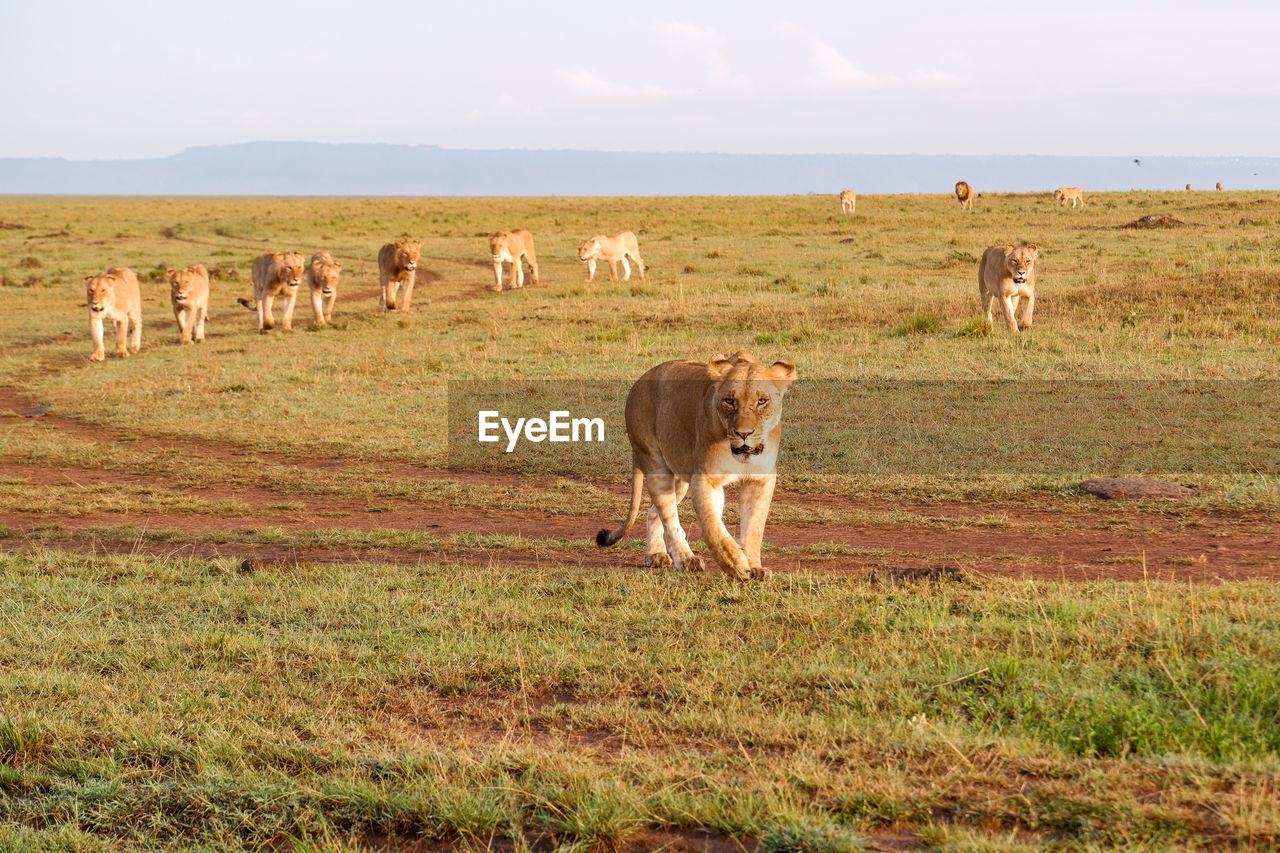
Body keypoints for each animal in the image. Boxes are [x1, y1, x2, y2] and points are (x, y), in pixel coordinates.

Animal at [593, 348, 793, 581]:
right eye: (729, 401)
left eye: (762, 401)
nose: (743, 434)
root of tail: (639, 382)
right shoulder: (706, 478)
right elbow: (713, 527)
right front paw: (735, 563)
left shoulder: (760, 480)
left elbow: (754, 527)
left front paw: (755, 567)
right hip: (655, 462)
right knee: (668, 516)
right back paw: (686, 559)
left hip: (680, 475)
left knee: (654, 511)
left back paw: (656, 554)